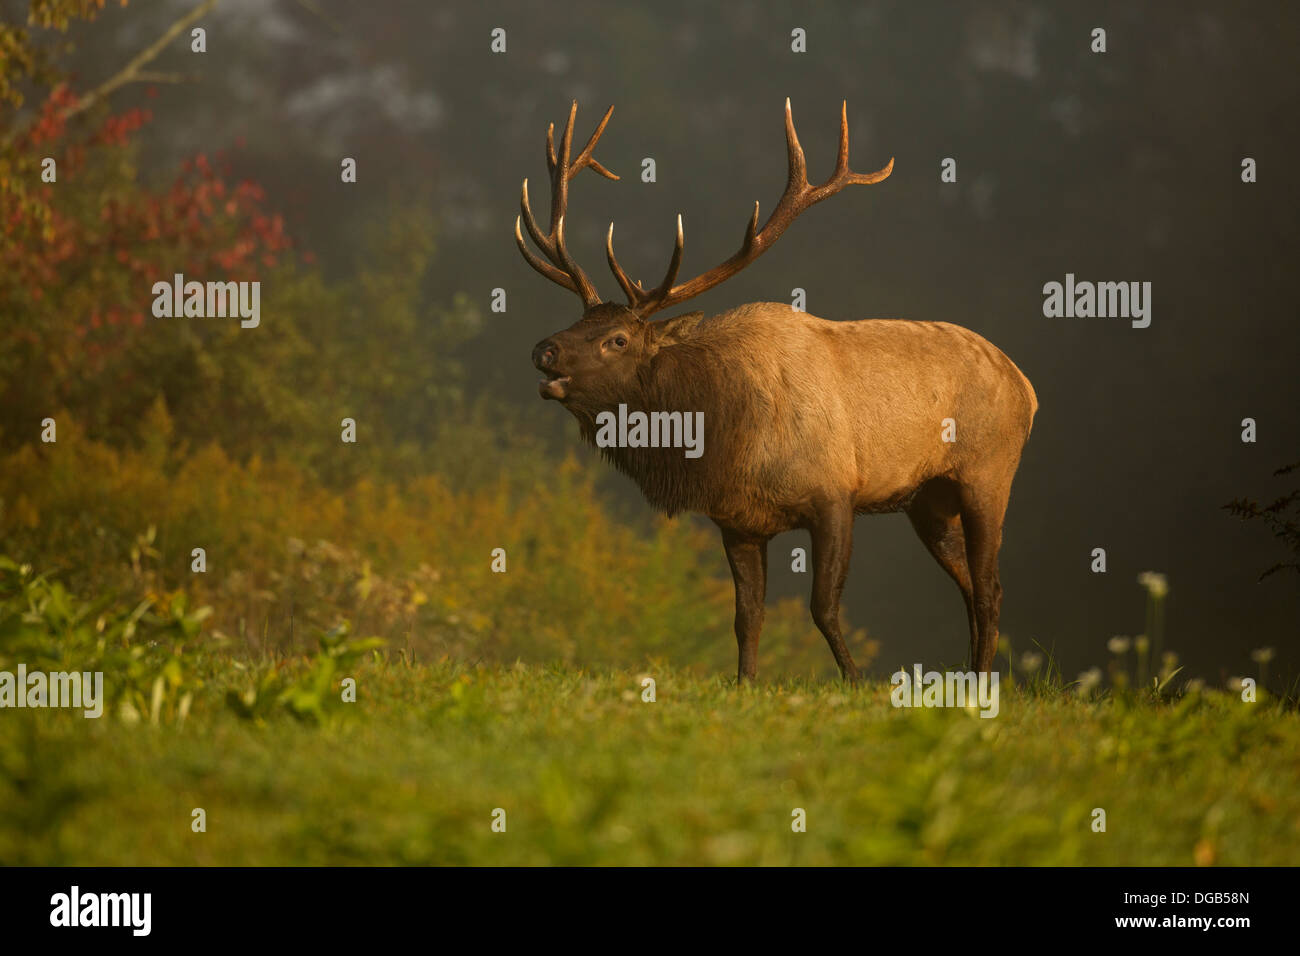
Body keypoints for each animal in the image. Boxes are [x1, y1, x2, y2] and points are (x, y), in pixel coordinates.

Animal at [514, 100, 1034, 686]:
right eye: (580, 322)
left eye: (617, 339)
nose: (543, 351)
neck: (725, 436)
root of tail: (1027, 384)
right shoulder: (737, 522)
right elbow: (747, 616)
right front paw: (746, 685)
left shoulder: (835, 494)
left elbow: (822, 606)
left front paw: (855, 683)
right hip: (928, 501)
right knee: (968, 585)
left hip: (988, 473)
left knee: (989, 588)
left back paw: (981, 684)